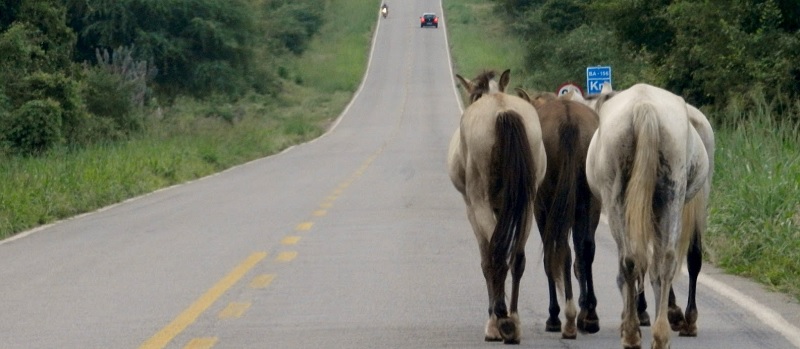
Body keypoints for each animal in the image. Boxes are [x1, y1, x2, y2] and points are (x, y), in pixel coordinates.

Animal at [446, 70, 548, 342]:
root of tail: (502, 112)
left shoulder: (472, 209)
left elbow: (486, 260)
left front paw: (492, 323)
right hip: (526, 207)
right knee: (517, 258)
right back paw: (514, 321)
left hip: (481, 203)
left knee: (497, 255)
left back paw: (500, 320)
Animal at [516, 88, 604, 338]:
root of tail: (568, 121)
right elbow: (581, 251)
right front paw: (585, 307)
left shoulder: (541, 208)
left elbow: (551, 255)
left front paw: (555, 314)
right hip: (589, 199)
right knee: (585, 248)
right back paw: (589, 315)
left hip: (550, 203)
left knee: (561, 249)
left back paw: (564, 315)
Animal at [572, 85, 716, 338]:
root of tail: (644, 107)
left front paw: (640, 312)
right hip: (680, 197)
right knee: (684, 255)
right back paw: (681, 318)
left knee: (636, 258)